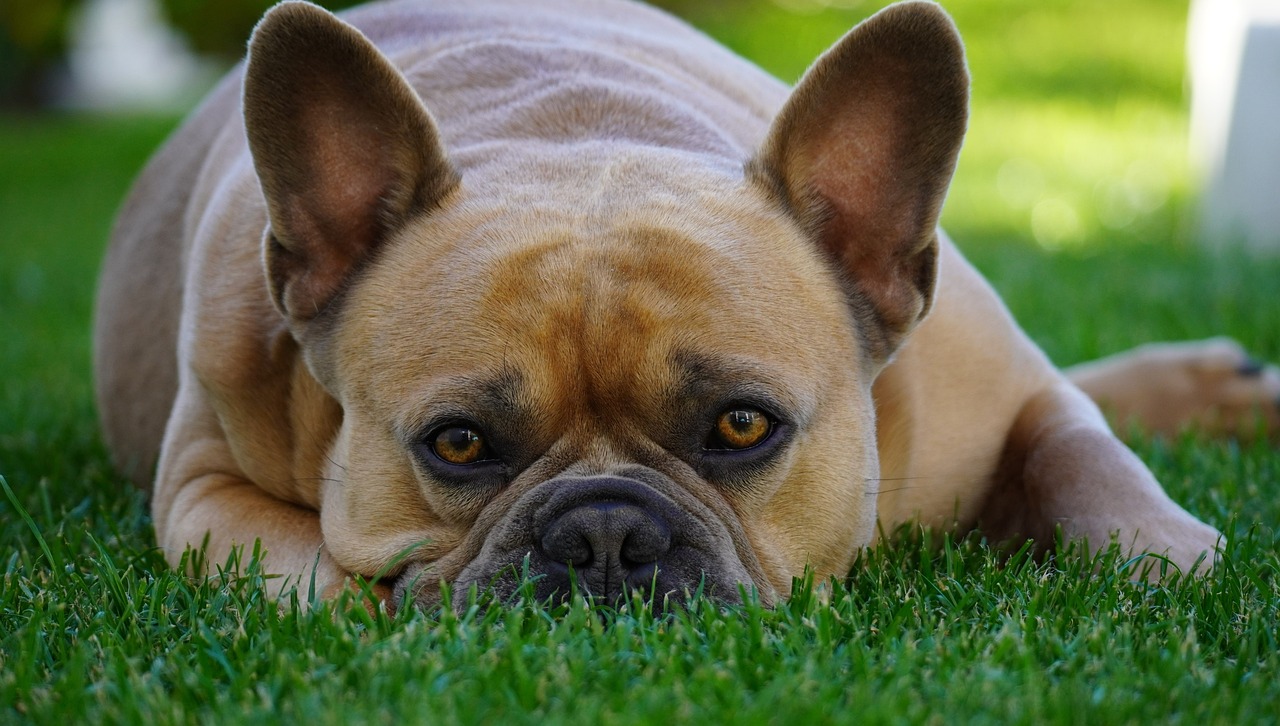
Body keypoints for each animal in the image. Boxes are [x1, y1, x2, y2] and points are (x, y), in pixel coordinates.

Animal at [94, 0, 1274, 612]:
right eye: (458, 444)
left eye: (742, 426)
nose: (606, 532)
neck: (574, 130)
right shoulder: (203, 494)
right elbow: (330, 587)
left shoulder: (1006, 392)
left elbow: (1086, 458)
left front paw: (1171, 559)